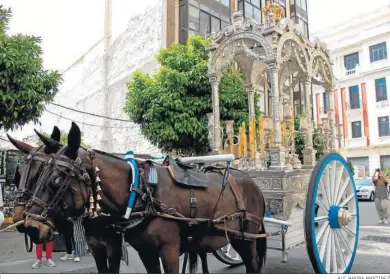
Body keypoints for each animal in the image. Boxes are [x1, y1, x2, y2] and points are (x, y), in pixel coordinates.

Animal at [14, 123, 268, 274]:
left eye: (56, 178)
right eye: (37, 173)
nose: (30, 226)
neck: (141, 193)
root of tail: (252, 181)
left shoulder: (166, 250)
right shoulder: (142, 251)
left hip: (246, 237)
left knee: (253, 264)